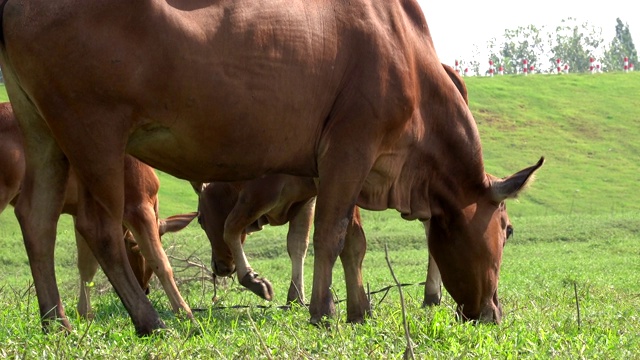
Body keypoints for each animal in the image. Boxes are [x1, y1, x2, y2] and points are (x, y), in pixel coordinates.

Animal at [0, 102, 198, 320]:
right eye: (134, 248)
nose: (144, 288)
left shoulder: (80, 213)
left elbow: (87, 265)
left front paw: (85, 314)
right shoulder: (138, 208)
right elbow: (161, 262)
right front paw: (185, 313)